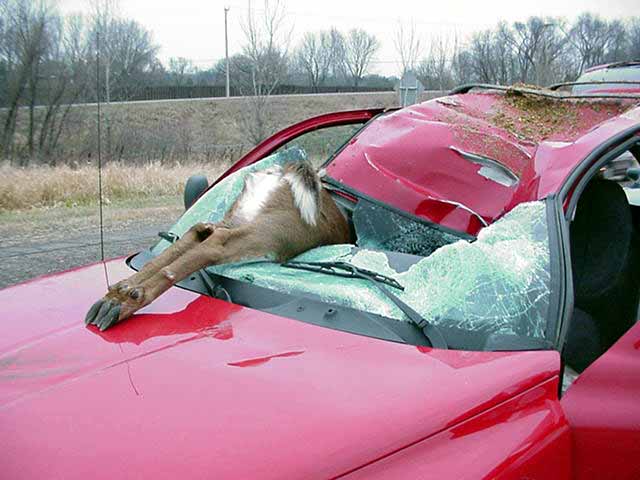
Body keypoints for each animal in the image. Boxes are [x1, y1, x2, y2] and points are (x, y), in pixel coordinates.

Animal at [85, 161, 351, 331]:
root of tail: (285, 172)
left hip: (237, 217)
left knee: (197, 232)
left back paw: (117, 296)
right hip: (273, 232)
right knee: (214, 244)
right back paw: (124, 302)